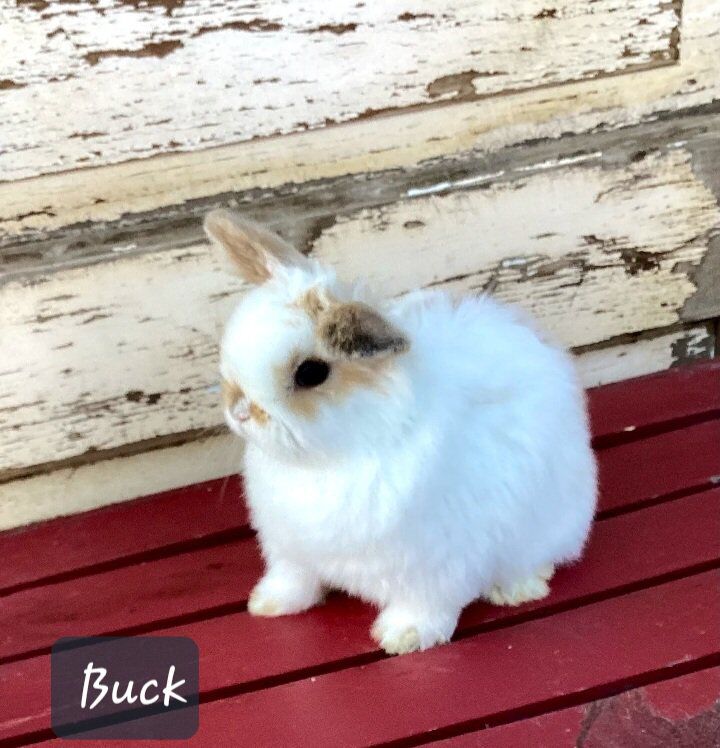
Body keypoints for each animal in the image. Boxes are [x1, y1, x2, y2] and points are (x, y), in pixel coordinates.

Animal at [205, 209, 597, 655]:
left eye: (311, 373)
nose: (239, 411)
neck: (334, 456)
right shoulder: (289, 549)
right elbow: (294, 580)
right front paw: (269, 604)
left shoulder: (435, 564)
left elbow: (423, 604)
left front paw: (403, 637)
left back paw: (516, 589)